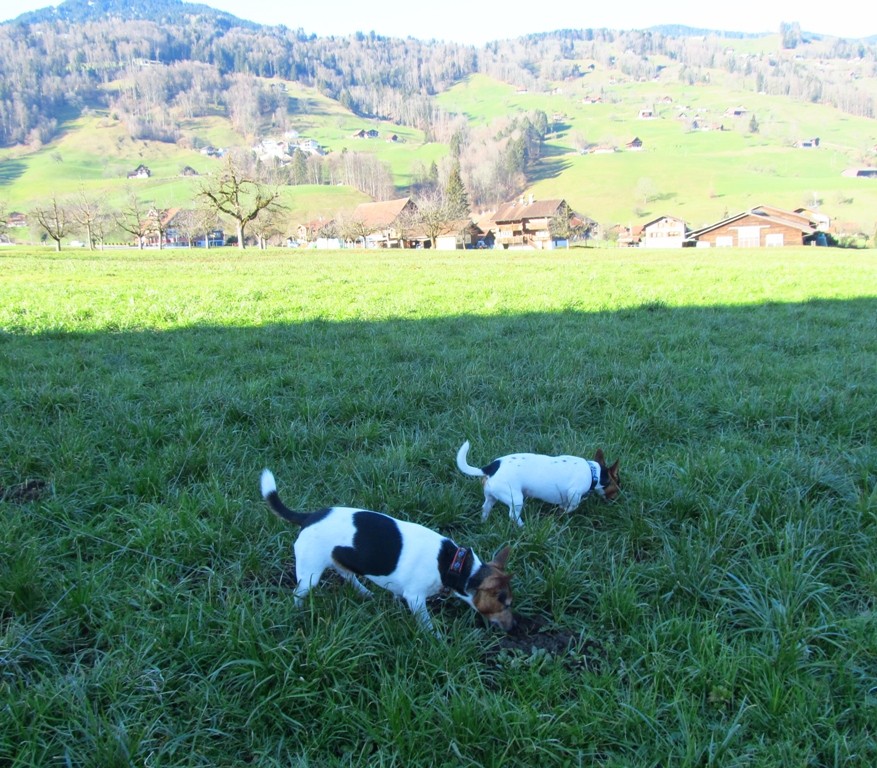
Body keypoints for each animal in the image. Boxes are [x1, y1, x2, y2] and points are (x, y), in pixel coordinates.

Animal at [260, 468, 515, 635]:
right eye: (506, 605)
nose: (514, 628)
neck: (454, 563)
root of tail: (308, 517)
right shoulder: (416, 598)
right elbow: (426, 624)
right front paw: (436, 639)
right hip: (309, 572)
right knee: (300, 593)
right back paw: (299, 613)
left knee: (346, 573)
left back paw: (365, 592)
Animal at [456, 440, 621, 527]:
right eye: (617, 486)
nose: (616, 501)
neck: (594, 472)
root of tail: (491, 467)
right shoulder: (574, 493)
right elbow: (572, 506)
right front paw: (563, 512)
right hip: (515, 498)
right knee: (513, 515)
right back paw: (522, 527)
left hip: (491, 496)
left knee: (486, 508)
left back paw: (483, 521)